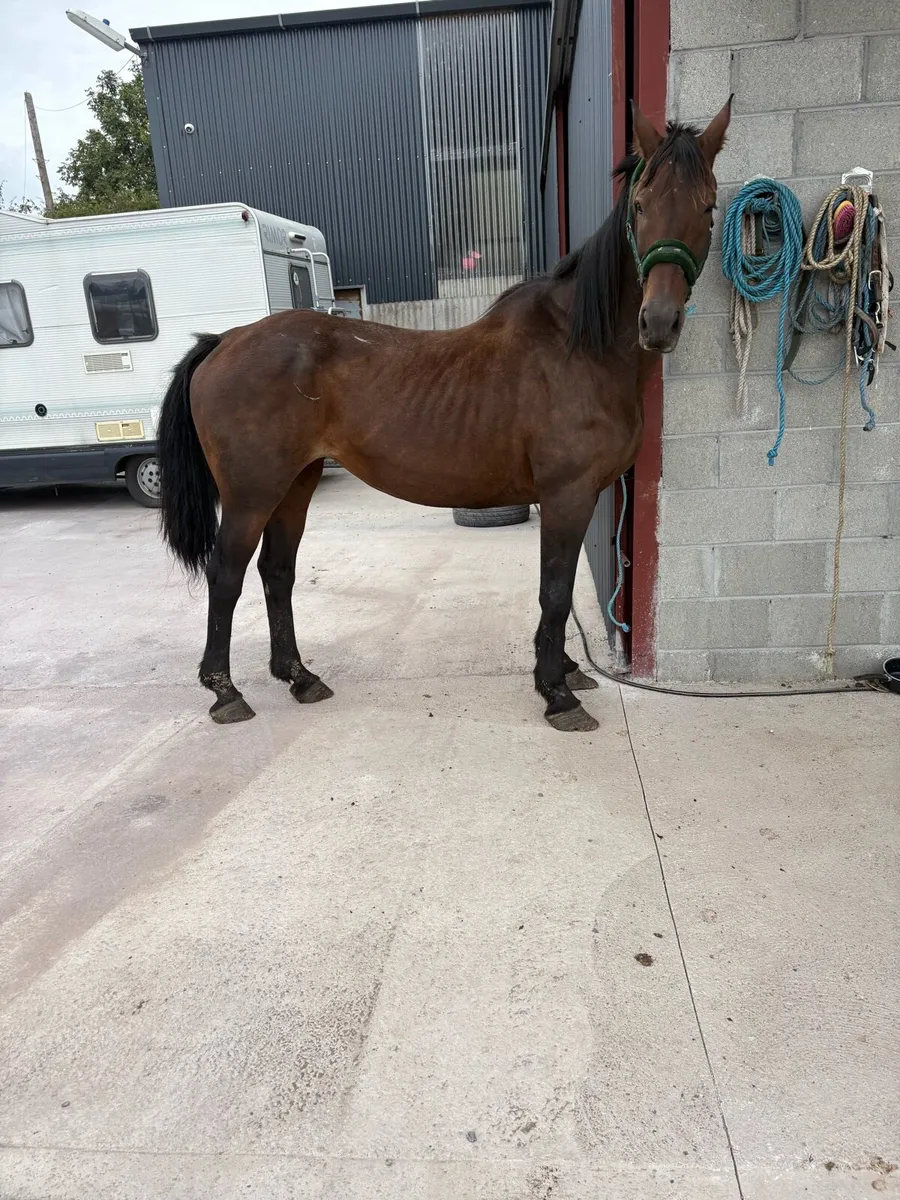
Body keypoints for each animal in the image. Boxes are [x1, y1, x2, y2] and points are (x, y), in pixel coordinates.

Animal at [157, 99, 732, 731]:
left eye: (708, 207)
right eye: (641, 205)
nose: (659, 322)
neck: (580, 345)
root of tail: (226, 339)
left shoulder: (573, 497)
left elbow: (552, 592)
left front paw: (562, 672)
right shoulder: (567, 494)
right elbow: (554, 592)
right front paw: (558, 693)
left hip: (295, 483)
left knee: (276, 573)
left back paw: (300, 677)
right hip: (251, 493)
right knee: (226, 575)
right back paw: (225, 691)